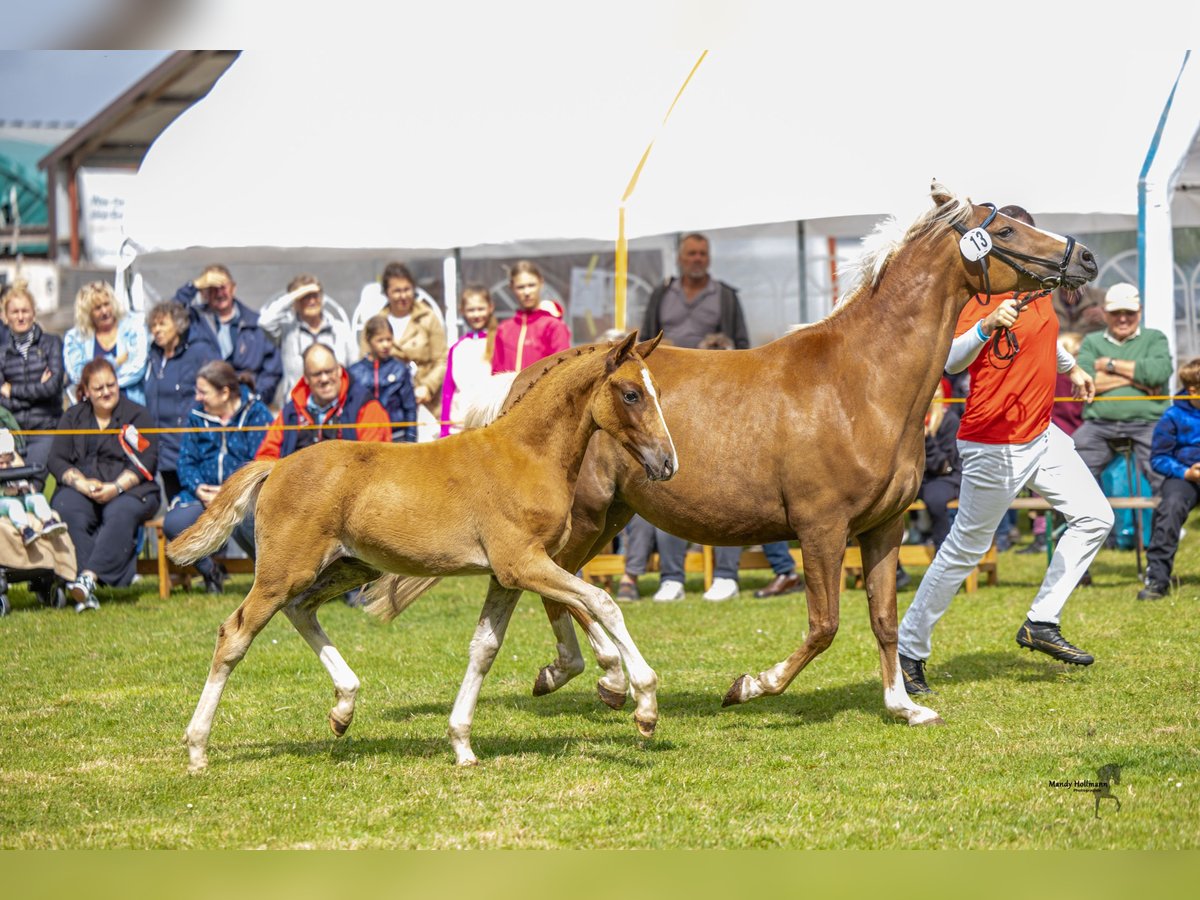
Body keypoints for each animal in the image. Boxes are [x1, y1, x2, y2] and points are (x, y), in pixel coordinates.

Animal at [167, 332, 677, 771]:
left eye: (654, 390)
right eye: (631, 394)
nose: (668, 463)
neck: (526, 454)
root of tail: (276, 466)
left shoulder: (506, 575)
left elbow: (485, 648)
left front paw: (463, 744)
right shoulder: (523, 563)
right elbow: (602, 603)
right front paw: (645, 703)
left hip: (348, 567)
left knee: (301, 610)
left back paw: (344, 707)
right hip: (284, 570)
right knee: (235, 634)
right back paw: (197, 748)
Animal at [373, 183, 1098, 739]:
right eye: (1003, 227)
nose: (1086, 257)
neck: (860, 382)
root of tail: (528, 380)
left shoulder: (883, 526)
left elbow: (885, 618)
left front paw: (904, 706)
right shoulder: (821, 528)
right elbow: (825, 625)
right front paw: (750, 684)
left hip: (610, 517)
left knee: (568, 583)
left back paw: (587, 675)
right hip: (582, 517)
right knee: (561, 585)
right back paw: (601, 675)